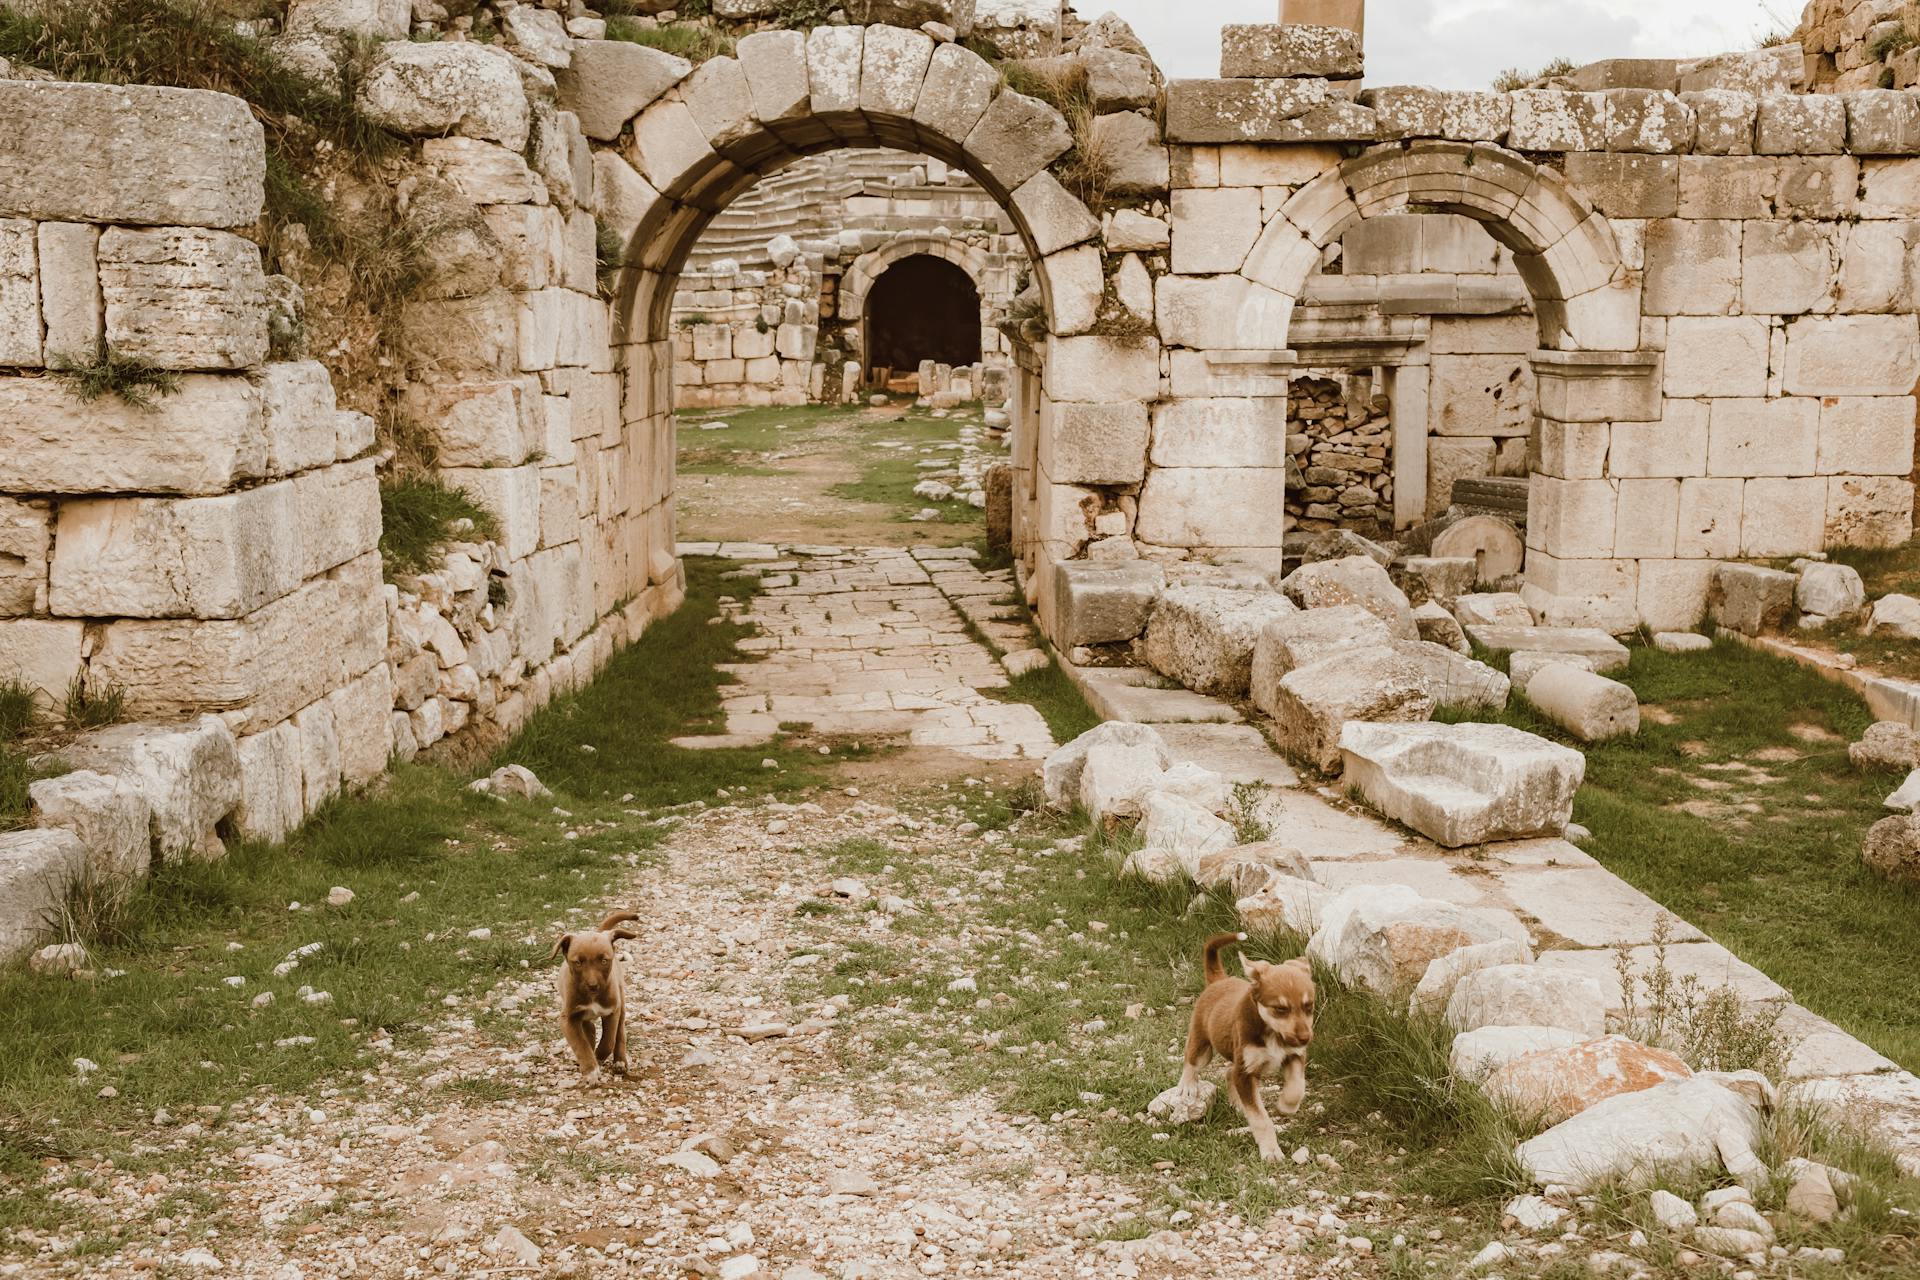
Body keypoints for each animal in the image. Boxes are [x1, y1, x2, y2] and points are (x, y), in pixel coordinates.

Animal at [556, 905, 645, 1090]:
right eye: (578, 962)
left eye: (604, 961)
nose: (593, 986)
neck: (592, 997)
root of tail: (600, 931)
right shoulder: (568, 1018)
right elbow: (580, 1045)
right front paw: (591, 1071)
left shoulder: (612, 1011)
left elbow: (608, 1041)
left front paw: (598, 1057)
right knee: (589, 1029)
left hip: (621, 1003)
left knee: (620, 1033)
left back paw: (620, 1062)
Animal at [1175, 932, 1313, 1159]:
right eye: (1280, 1009)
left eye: (1309, 1006)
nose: (1305, 1039)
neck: (1270, 1031)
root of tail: (1219, 980)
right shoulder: (1246, 1072)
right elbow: (1260, 1118)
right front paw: (1271, 1151)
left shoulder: (1293, 1055)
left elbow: (1297, 1086)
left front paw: (1286, 1105)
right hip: (1203, 1044)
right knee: (1191, 1061)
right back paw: (1187, 1086)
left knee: (1228, 1072)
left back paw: (1239, 1104)